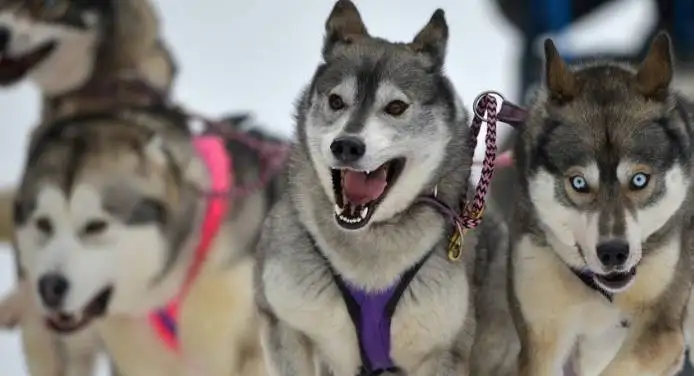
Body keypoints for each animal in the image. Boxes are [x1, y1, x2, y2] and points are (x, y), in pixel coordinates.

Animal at [512, 33, 694, 376]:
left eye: (639, 179)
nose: (613, 253)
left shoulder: (660, 333)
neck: (604, 293)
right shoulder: (543, 336)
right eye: (579, 183)